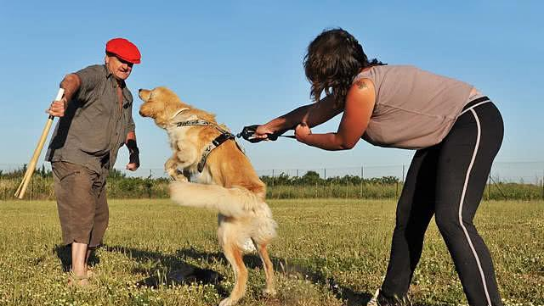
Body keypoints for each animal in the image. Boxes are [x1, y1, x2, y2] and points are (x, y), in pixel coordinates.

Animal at [138, 86, 278, 306]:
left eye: (150, 91)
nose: (138, 88)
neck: (180, 115)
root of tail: (255, 195)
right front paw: (183, 177)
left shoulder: (188, 153)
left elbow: (169, 162)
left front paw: (178, 176)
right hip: (258, 240)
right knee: (269, 264)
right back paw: (269, 291)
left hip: (225, 235)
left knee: (243, 272)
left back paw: (230, 299)